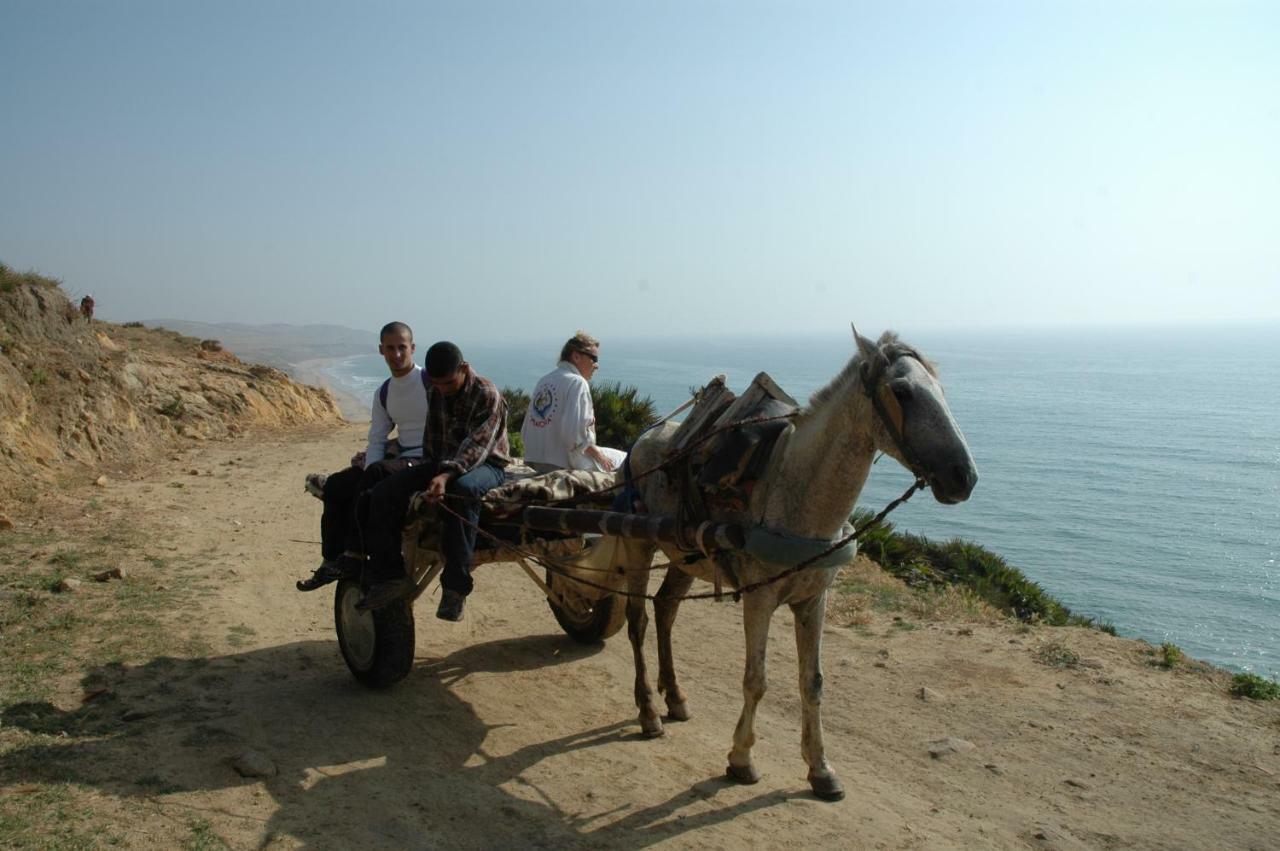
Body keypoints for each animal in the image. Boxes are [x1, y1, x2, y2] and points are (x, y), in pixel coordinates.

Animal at [614, 325, 972, 798]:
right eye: (902, 391)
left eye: (941, 390)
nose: (963, 475)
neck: (796, 490)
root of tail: (645, 438)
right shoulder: (759, 600)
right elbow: (756, 679)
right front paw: (741, 758)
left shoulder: (813, 601)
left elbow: (813, 682)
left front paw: (820, 768)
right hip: (640, 546)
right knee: (637, 619)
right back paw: (649, 711)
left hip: (685, 555)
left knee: (666, 608)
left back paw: (675, 697)